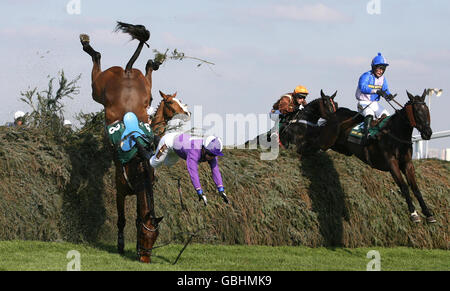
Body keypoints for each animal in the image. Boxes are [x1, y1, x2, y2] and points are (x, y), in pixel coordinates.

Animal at [79, 21, 186, 264]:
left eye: (154, 237)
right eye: (144, 235)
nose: (145, 259)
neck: (138, 165)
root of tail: (127, 70)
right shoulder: (120, 188)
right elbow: (121, 218)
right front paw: (120, 245)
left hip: (145, 86)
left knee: (146, 71)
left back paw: (153, 62)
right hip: (98, 89)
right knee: (97, 58)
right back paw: (87, 44)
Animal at [326, 91, 436, 224]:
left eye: (427, 111)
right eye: (417, 111)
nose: (428, 133)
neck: (395, 134)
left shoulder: (407, 164)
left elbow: (415, 188)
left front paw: (428, 213)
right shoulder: (392, 163)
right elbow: (404, 187)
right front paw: (414, 214)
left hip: (343, 149)